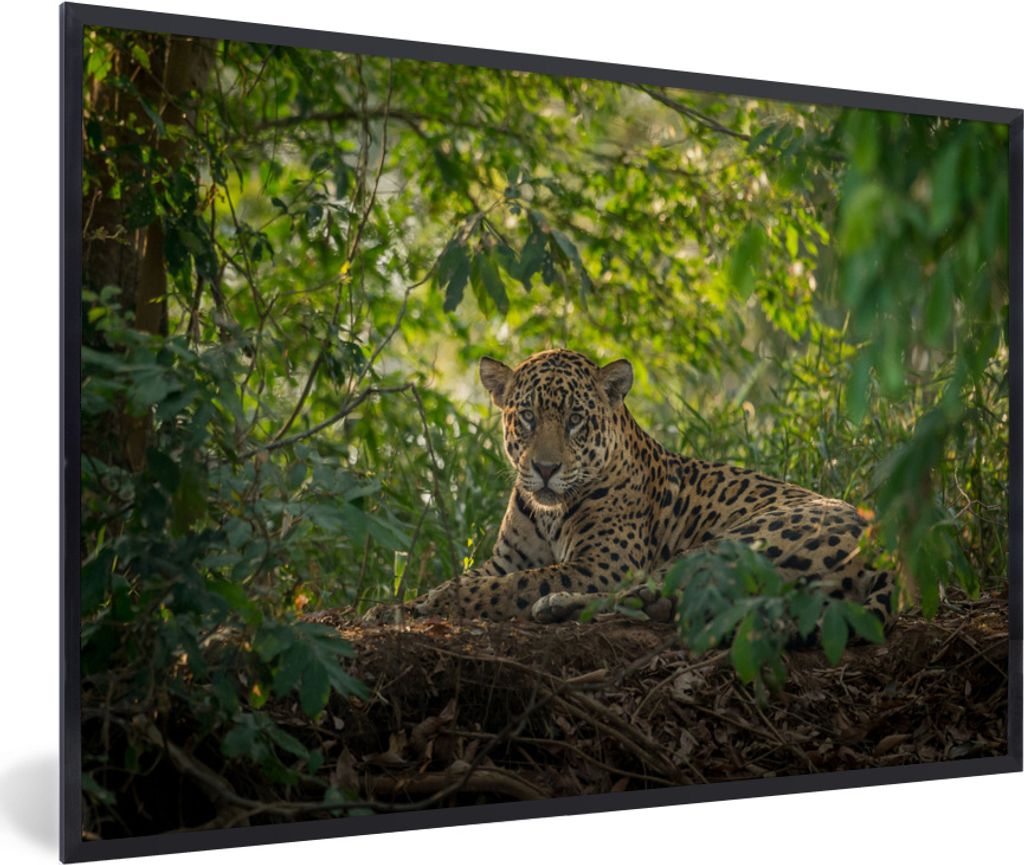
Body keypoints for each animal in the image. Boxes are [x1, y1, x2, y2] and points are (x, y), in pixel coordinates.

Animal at [381, 348, 896, 630]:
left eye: (575, 420)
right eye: (526, 416)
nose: (545, 469)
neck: (548, 512)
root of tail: (882, 552)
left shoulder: (601, 563)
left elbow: (510, 586)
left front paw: (436, 605)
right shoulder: (504, 559)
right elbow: (474, 577)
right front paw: (395, 608)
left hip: (733, 543)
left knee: (651, 594)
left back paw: (555, 605)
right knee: (670, 602)